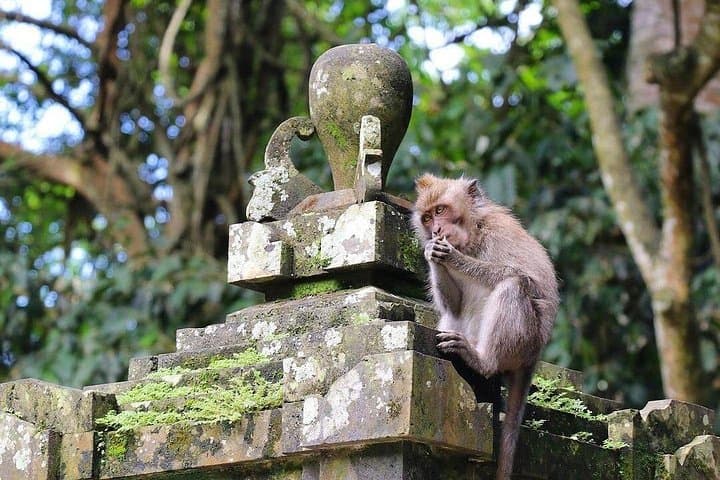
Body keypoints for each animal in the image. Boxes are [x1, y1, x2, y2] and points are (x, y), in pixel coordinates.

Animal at [413, 174, 559, 480]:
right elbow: (453, 304)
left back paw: (482, 361)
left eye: (441, 210)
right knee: (453, 315)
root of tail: (533, 357)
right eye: (427, 218)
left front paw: (452, 257)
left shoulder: (499, 233)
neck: (474, 235)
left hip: (524, 341)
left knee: (512, 286)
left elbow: (528, 280)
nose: (435, 230)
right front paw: (432, 253)